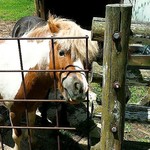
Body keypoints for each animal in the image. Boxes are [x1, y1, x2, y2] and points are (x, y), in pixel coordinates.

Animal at [0, 13, 99, 149]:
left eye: (87, 60)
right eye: (61, 52)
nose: (80, 89)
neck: (21, 71)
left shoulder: (32, 106)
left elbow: (31, 127)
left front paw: (33, 143)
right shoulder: (14, 111)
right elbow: (17, 136)